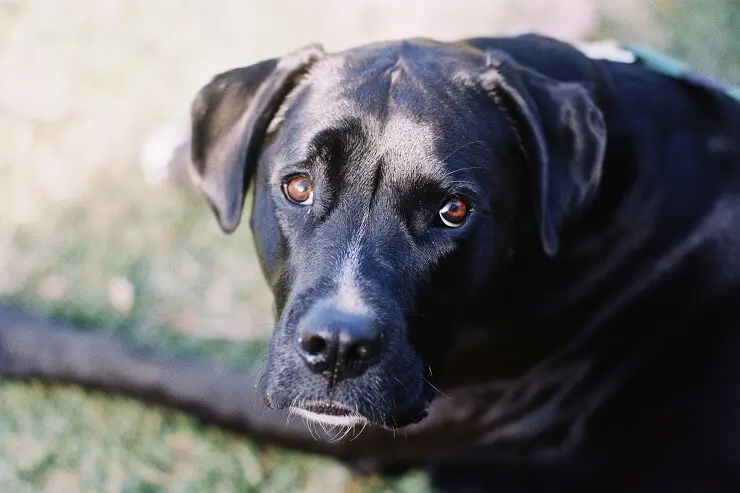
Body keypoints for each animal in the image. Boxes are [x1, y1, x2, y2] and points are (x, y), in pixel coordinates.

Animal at [1, 32, 740, 490]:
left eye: (454, 211)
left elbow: (144, 364)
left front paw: (20, 333)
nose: (337, 346)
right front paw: (181, 154)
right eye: (297, 185)